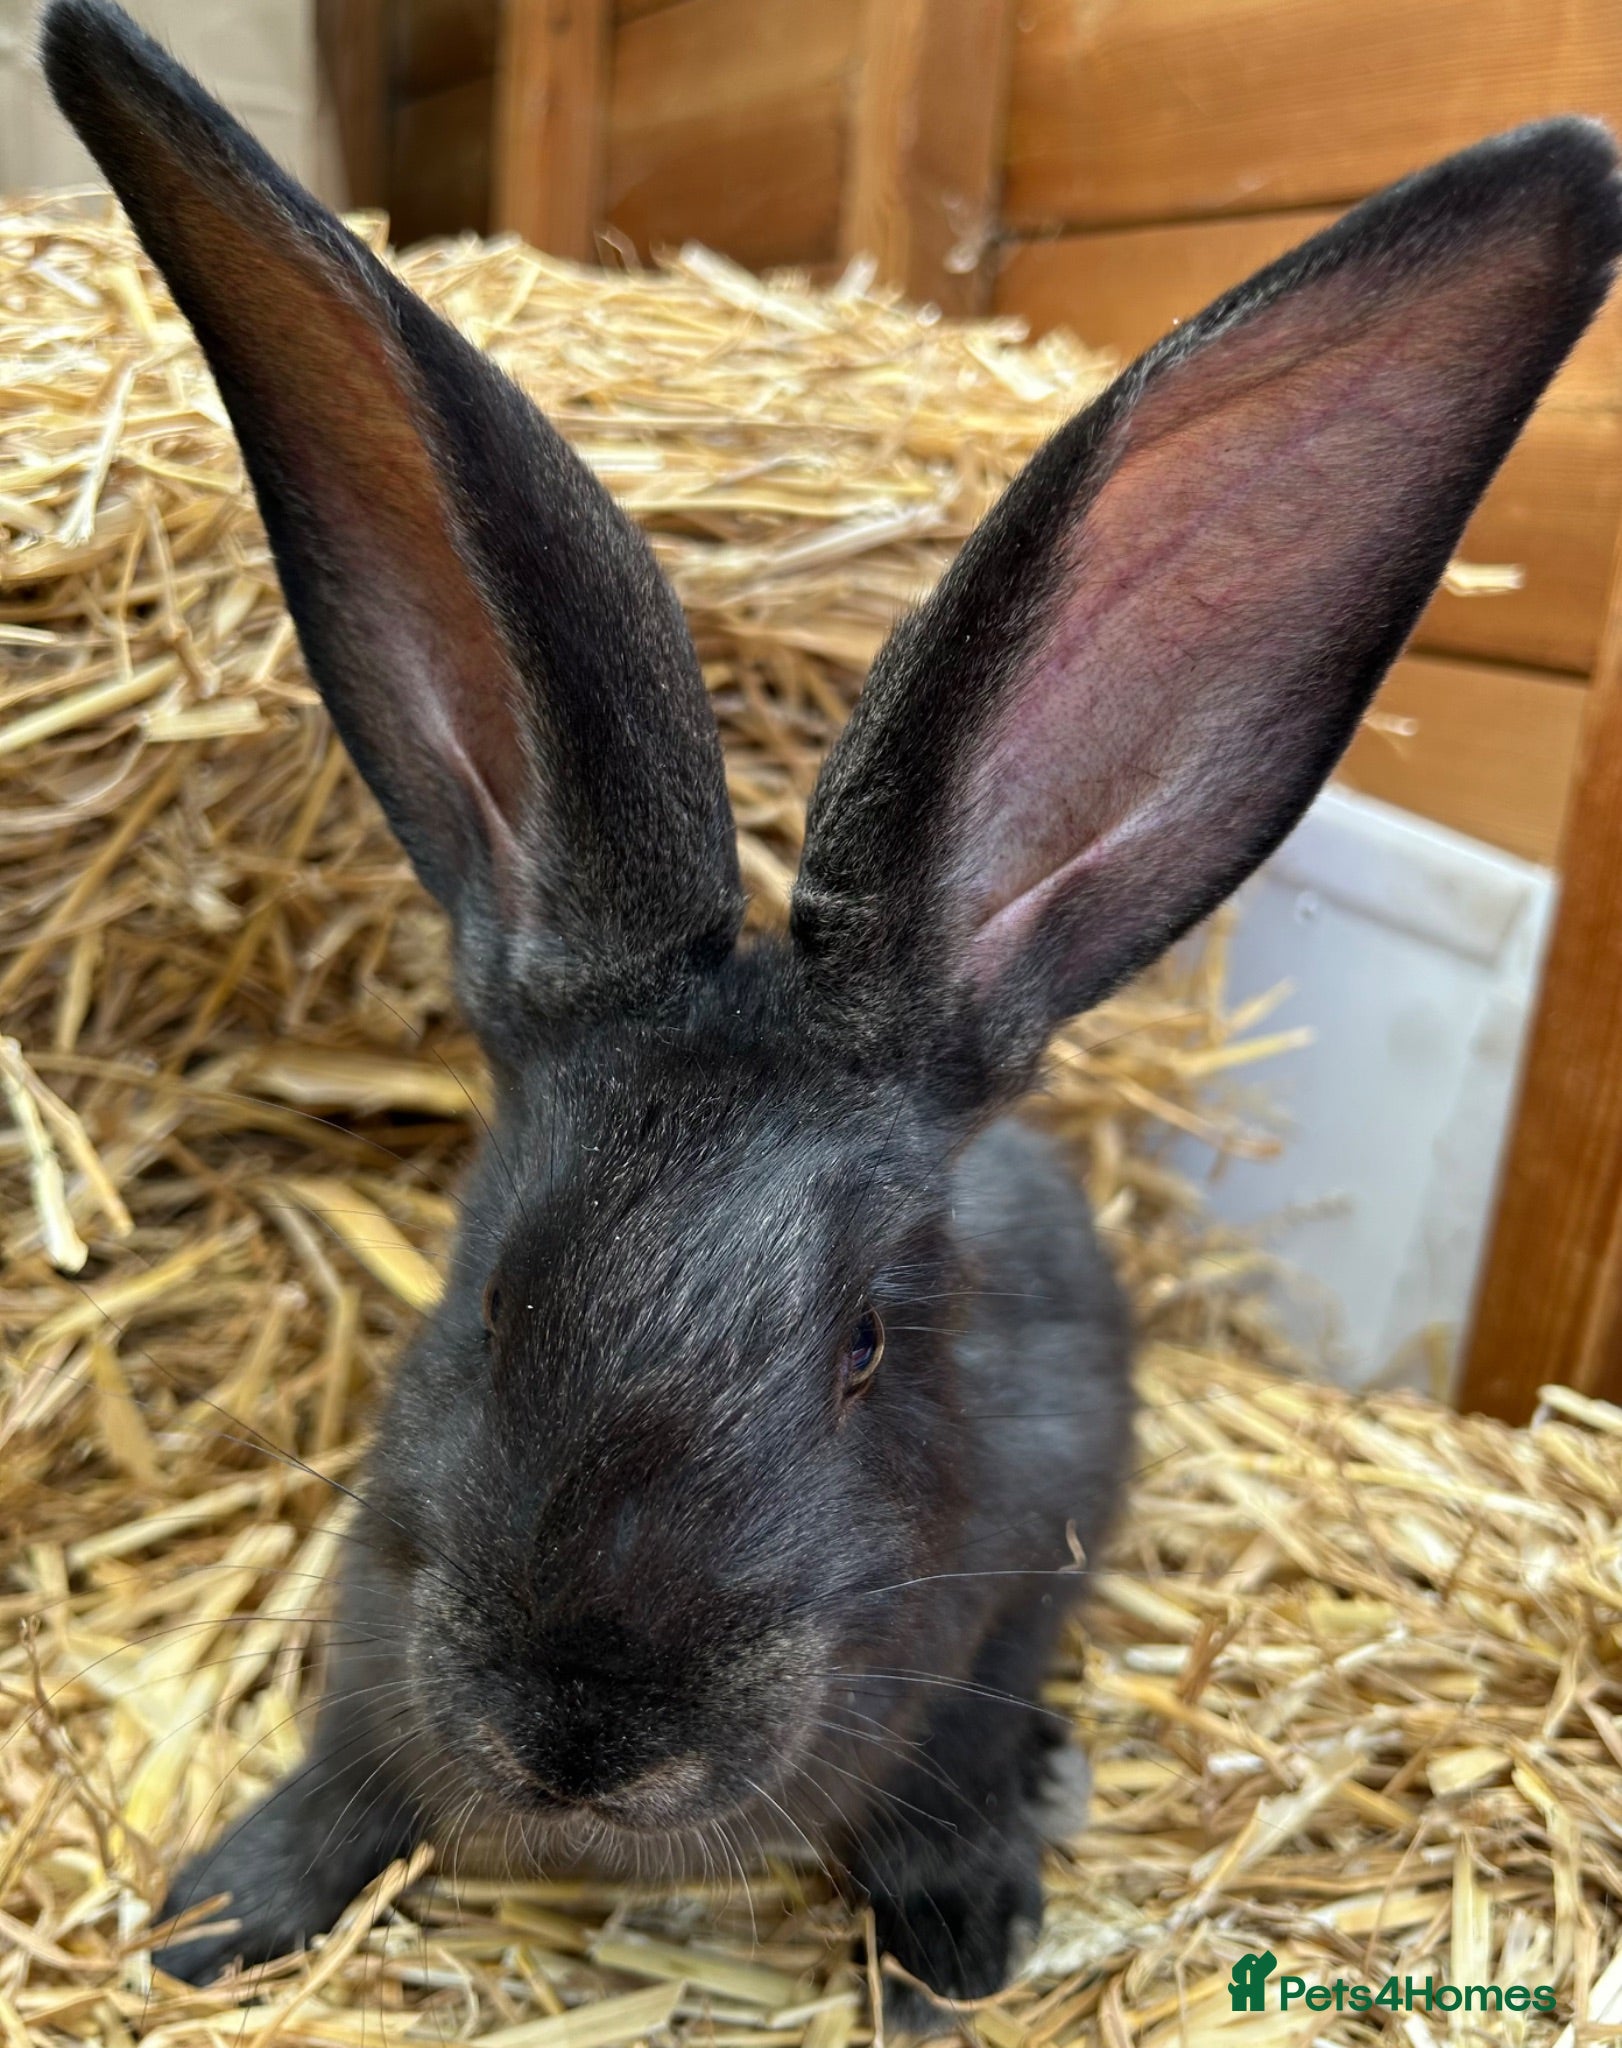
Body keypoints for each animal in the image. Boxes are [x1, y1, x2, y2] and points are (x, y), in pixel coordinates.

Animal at [42, 0, 1622, 2018]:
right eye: (489, 1302)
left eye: (864, 1345)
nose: (586, 1731)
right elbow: (341, 1783)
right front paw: (213, 1916)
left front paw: (954, 1947)